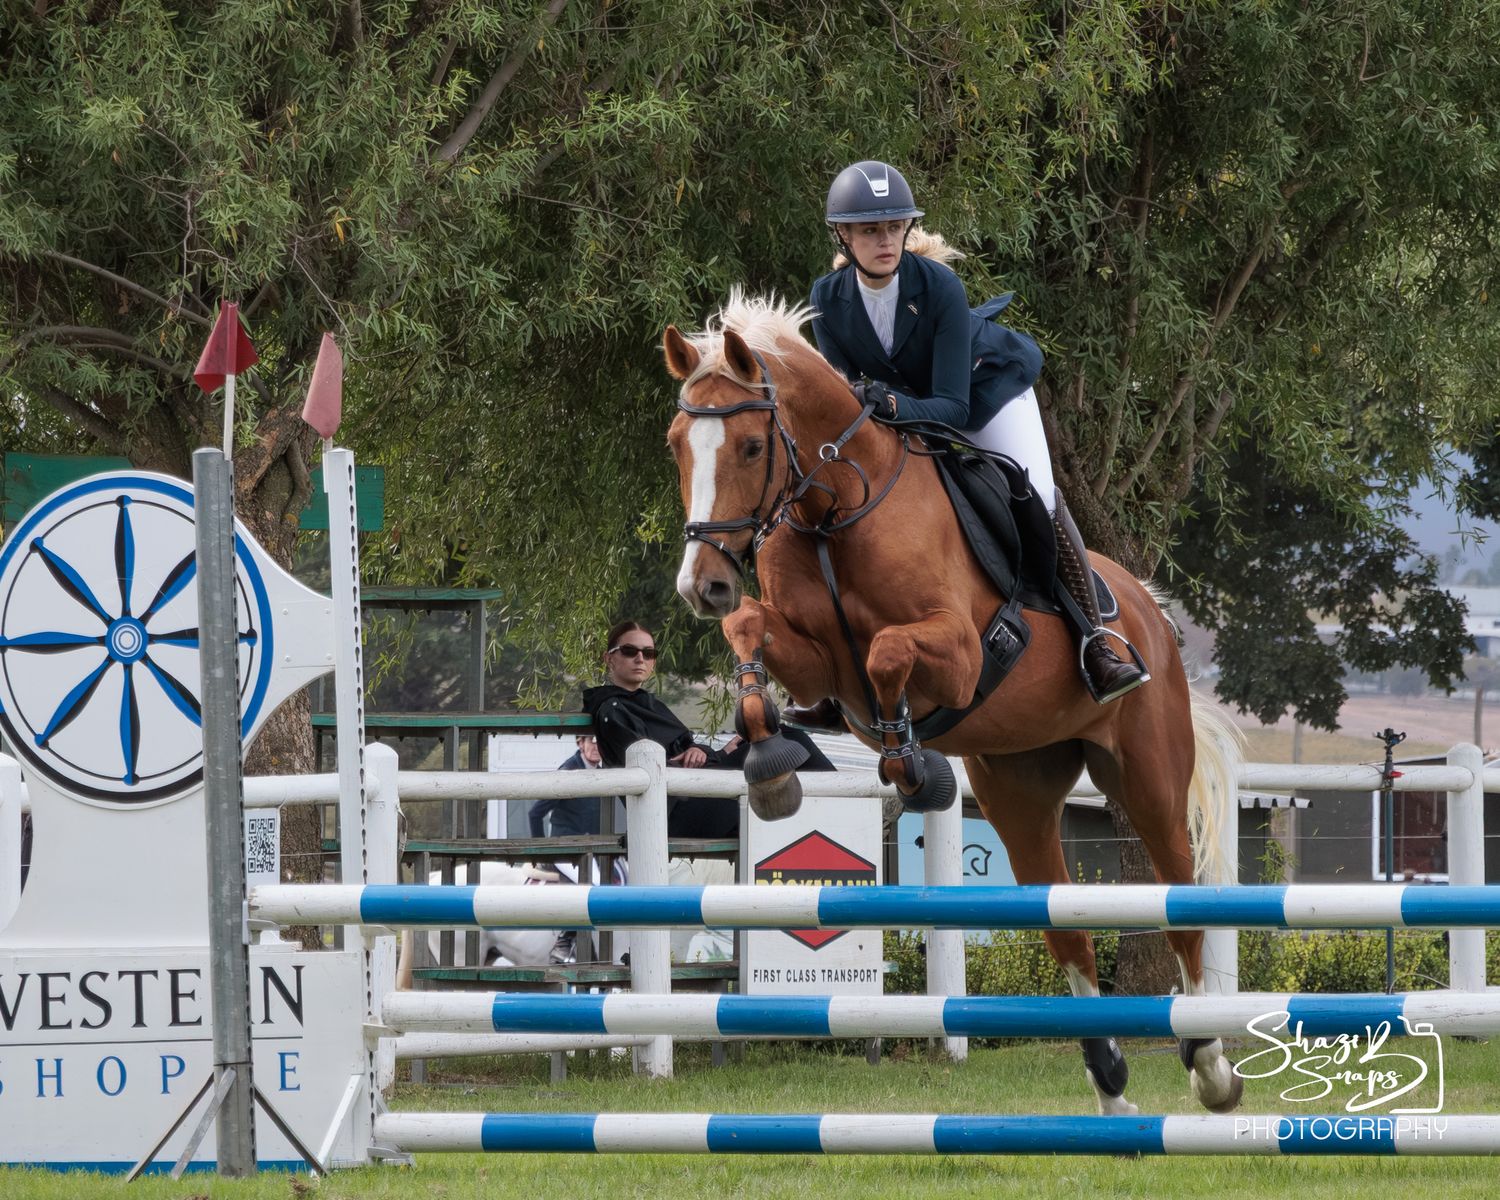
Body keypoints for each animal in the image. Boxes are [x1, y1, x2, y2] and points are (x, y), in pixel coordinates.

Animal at [662, 291, 1244, 1116]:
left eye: (748, 446)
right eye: (678, 444)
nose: (701, 585)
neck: (833, 510)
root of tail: (1151, 614)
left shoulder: (963, 656)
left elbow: (888, 653)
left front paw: (912, 765)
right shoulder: (815, 664)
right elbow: (753, 631)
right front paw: (771, 762)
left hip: (1149, 777)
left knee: (1182, 905)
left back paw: (1209, 1064)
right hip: (1019, 789)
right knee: (1066, 930)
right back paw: (1110, 1086)